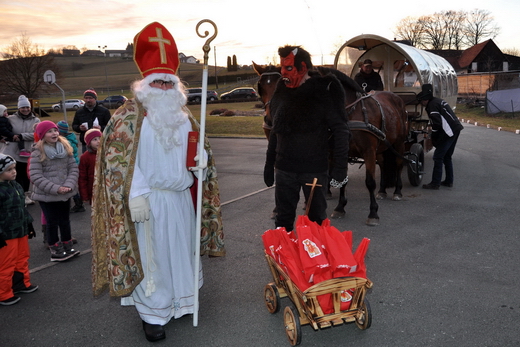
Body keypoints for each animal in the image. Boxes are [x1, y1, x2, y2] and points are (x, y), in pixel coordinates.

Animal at [253, 61, 410, 227]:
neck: (351, 113)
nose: (273, 117)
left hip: (399, 142)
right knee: (383, 164)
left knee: (399, 164)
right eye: (260, 86)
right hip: (381, 146)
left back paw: (397, 191)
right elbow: (342, 179)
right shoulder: (340, 152)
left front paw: (373, 212)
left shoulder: (368, 151)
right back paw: (382, 190)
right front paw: (340, 207)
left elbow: (370, 182)